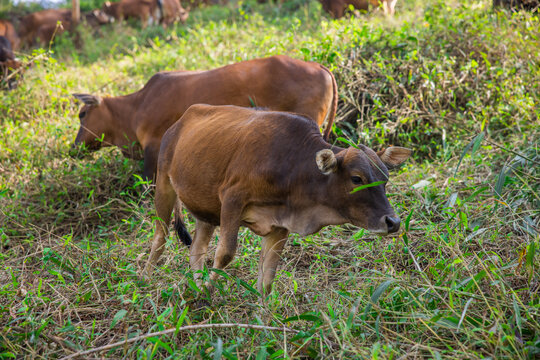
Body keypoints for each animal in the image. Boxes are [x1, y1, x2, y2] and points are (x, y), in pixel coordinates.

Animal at [143, 104, 410, 296]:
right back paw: (148, 275)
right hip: (164, 185)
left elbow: (267, 277)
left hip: (205, 211)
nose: (393, 222)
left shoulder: (281, 223)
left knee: (196, 249)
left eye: (385, 178)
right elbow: (226, 253)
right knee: (161, 237)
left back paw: (195, 285)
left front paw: (264, 317)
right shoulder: (231, 199)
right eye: (356, 178)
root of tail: (180, 122)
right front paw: (208, 291)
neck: (293, 166)